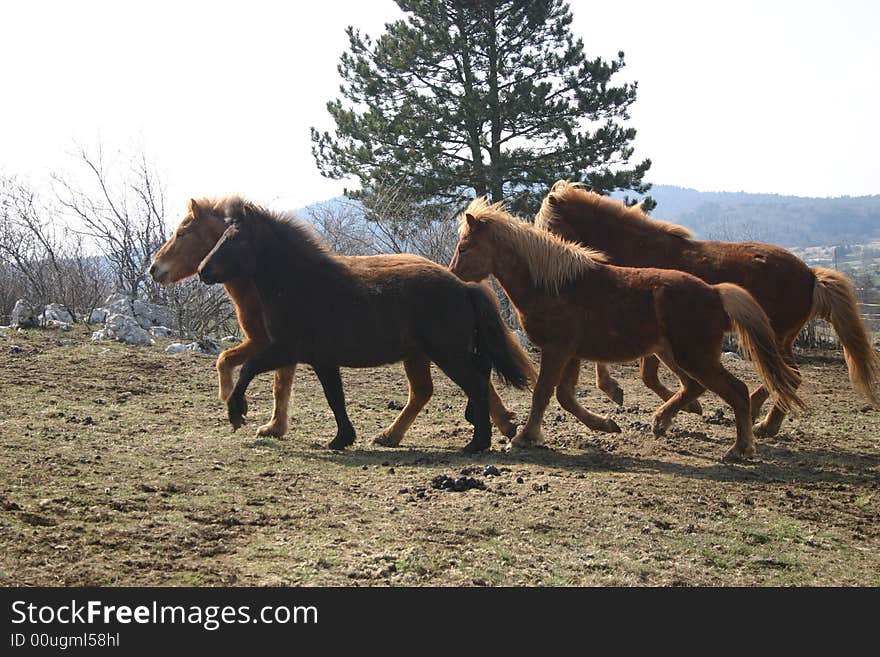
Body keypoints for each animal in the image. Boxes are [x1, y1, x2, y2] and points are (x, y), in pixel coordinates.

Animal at [150, 197, 528, 446]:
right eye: (219, 237)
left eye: (235, 238)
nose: (203, 271)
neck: (299, 283)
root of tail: (464, 287)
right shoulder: (320, 359)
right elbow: (334, 397)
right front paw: (341, 438)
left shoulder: (284, 349)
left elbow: (249, 369)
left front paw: (237, 413)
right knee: (463, 382)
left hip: (447, 353)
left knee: (475, 383)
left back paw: (477, 443)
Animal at [450, 197, 808, 458]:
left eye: (464, 247)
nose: (452, 277)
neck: (555, 285)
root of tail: (715, 292)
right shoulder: (572, 353)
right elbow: (565, 396)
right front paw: (606, 424)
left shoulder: (557, 350)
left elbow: (542, 394)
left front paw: (524, 437)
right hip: (675, 354)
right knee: (696, 387)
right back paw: (665, 422)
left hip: (696, 357)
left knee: (739, 391)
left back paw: (741, 447)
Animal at [532, 179, 876, 436]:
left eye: (550, 225)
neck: (638, 248)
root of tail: (811, 275)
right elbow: (637, 371)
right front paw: (620, 391)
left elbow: (653, 375)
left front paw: (681, 408)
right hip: (778, 339)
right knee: (787, 377)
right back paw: (761, 420)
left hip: (773, 338)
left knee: (787, 377)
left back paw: (760, 420)